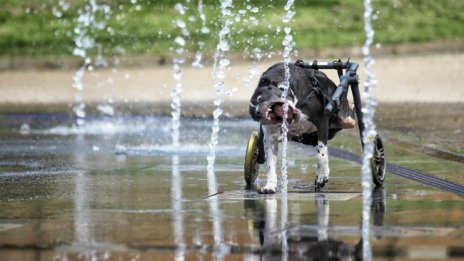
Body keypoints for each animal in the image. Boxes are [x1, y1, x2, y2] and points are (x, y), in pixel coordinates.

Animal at [250, 62, 356, 193]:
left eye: (261, 98)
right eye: (252, 111)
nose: (257, 113)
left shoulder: (322, 122)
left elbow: (321, 154)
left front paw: (323, 176)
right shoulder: (270, 137)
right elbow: (270, 163)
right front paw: (269, 185)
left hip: (346, 119)